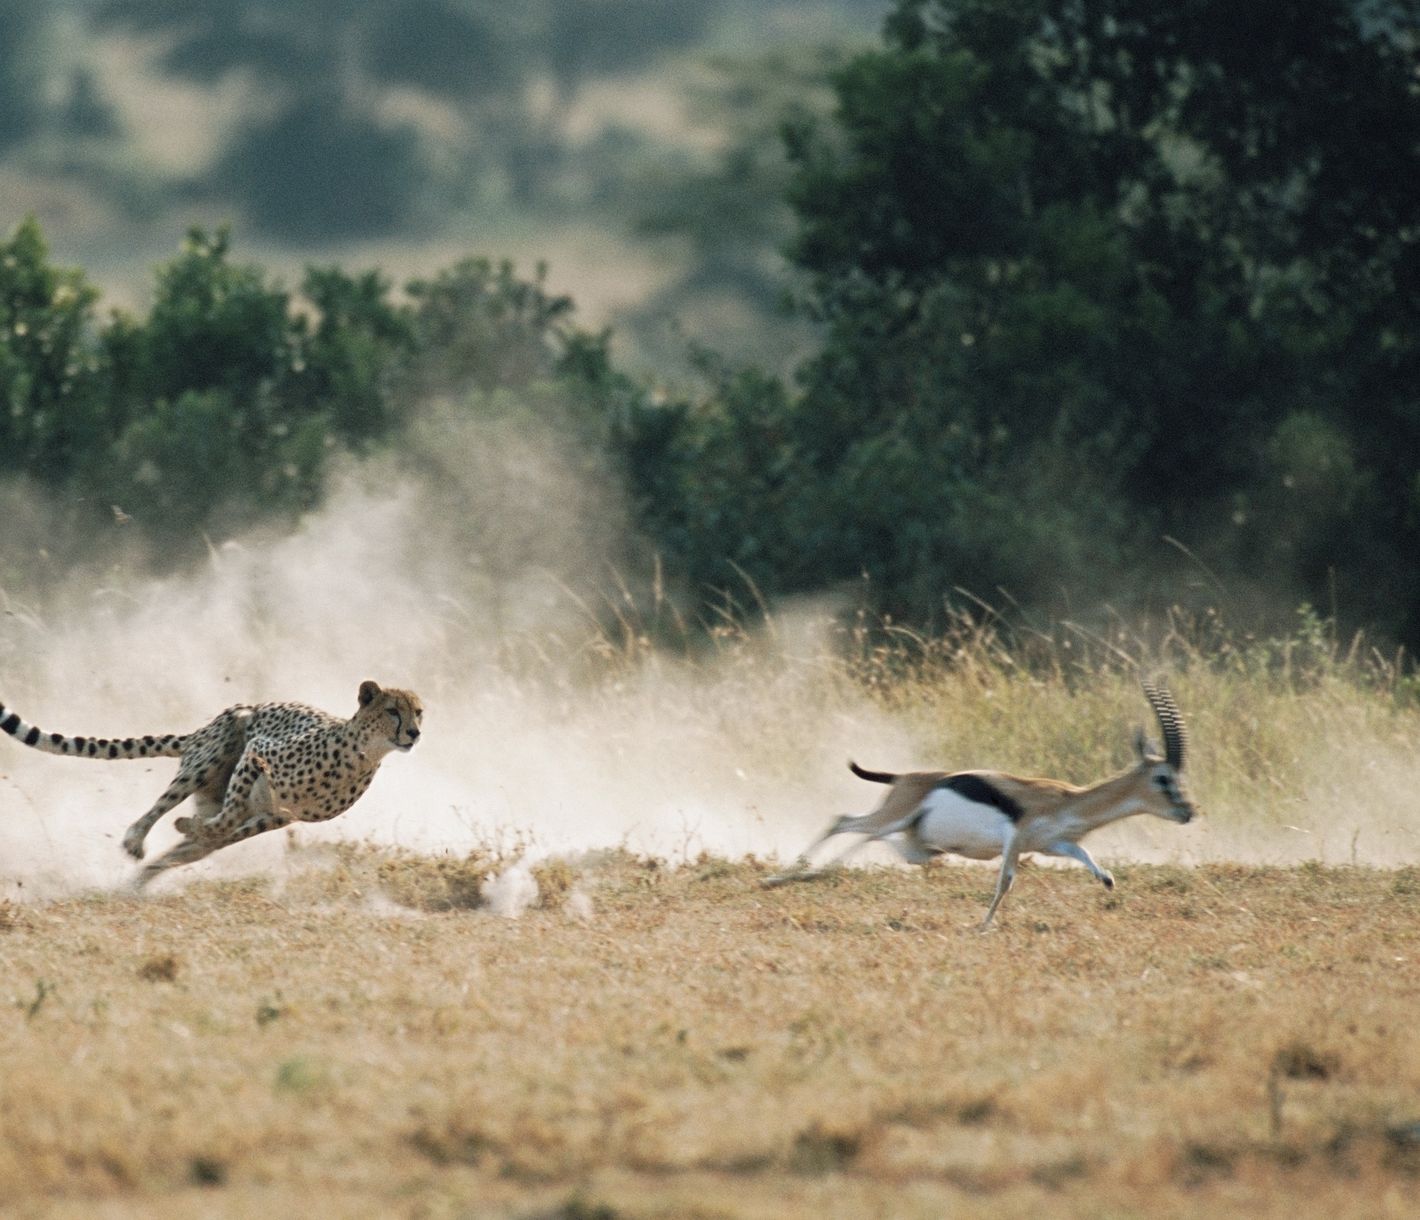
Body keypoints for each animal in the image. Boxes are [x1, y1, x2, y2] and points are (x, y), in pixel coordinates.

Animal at [766, 682, 1197, 928]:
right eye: (1164, 778)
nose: (1188, 812)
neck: (1068, 799)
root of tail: (904, 778)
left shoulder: (1052, 845)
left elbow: (1089, 858)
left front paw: (1107, 881)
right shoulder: (1015, 838)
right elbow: (1006, 881)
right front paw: (984, 925)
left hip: (918, 845)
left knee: (863, 835)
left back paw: (797, 876)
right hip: (894, 820)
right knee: (844, 823)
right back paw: (780, 879)